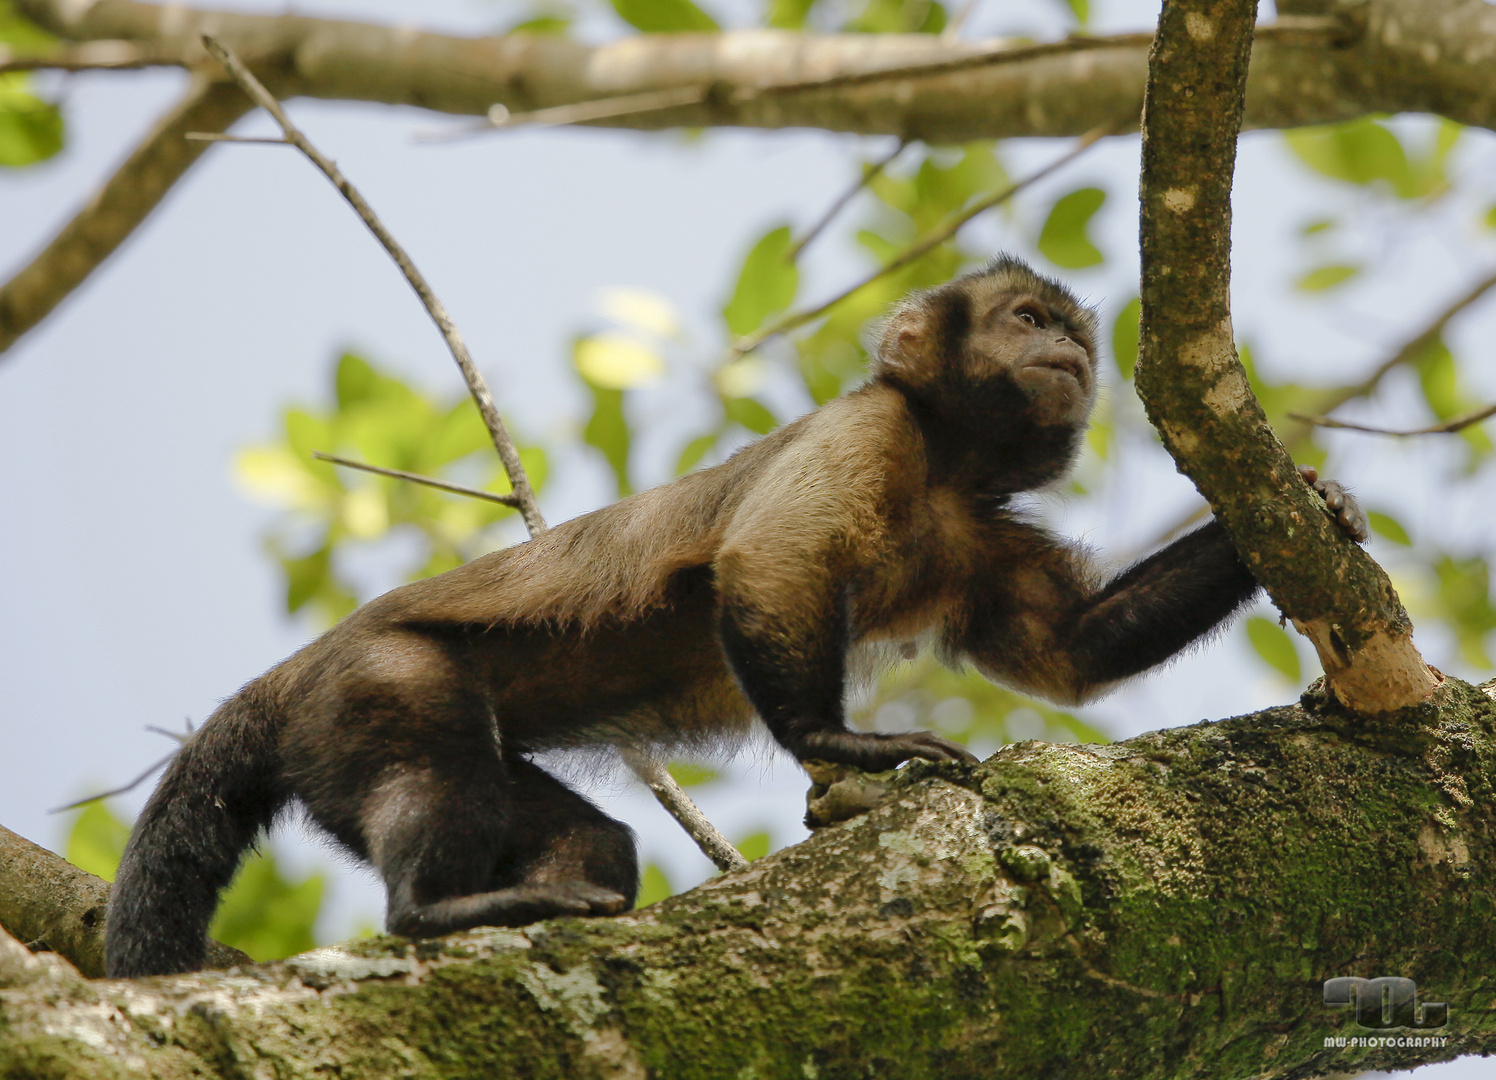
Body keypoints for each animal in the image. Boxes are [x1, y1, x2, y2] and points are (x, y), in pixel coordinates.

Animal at [105, 254, 1370, 975]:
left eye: (1070, 334)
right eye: (1023, 319)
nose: (1063, 348)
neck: (944, 464)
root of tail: (288, 675)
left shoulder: (976, 528)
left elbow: (1065, 655)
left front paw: (1310, 504)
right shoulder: (867, 431)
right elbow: (768, 562)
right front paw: (834, 742)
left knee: (594, 845)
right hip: (370, 684)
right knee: (432, 773)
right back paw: (425, 912)